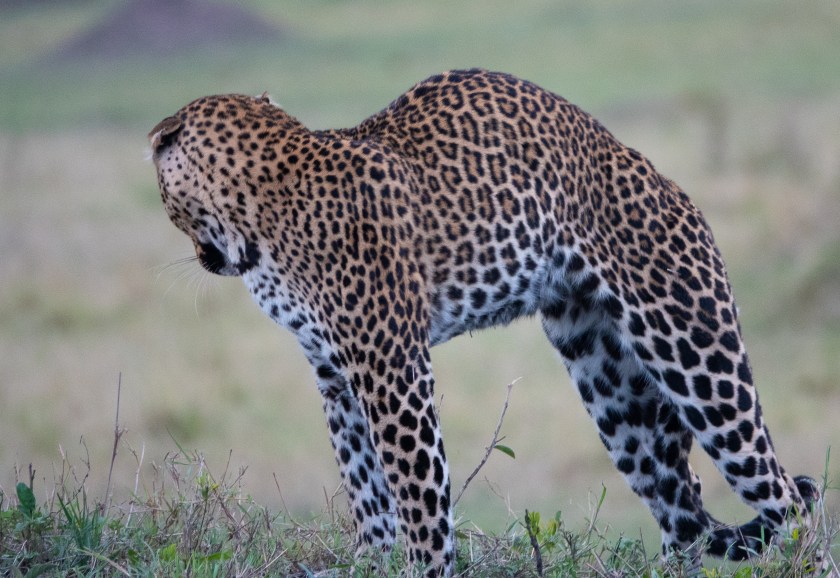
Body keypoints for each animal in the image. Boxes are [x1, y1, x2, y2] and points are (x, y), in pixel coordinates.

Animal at [149, 69, 820, 576]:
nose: (206, 259)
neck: (258, 213)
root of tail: (657, 174)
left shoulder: (391, 369)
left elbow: (417, 493)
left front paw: (422, 569)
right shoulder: (336, 374)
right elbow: (364, 482)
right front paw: (370, 560)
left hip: (698, 359)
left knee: (787, 499)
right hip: (612, 385)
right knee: (683, 509)